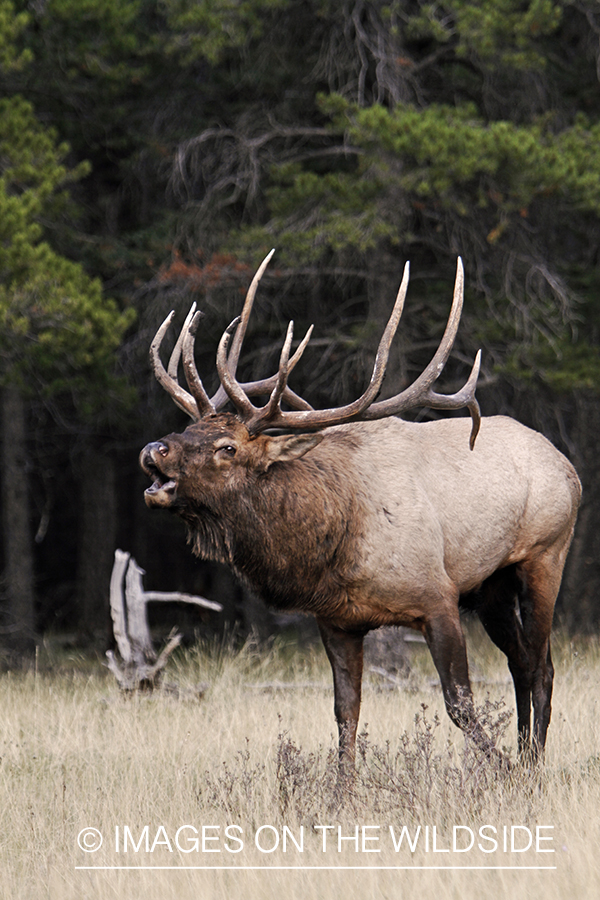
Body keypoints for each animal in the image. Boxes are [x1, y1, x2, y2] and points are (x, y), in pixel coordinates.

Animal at [140, 251, 581, 774]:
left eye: (227, 447)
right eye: (189, 427)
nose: (154, 448)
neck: (334, 538)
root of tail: (568, 467)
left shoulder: (438, 596)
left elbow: (459, 703)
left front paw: (501, 770)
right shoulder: (337, 620)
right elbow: (345, 711)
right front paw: (342, 788)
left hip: (544, 555)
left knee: (540, 665)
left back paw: (532, 763)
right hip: (490, 586)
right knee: (519, 662)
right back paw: (526, 753)